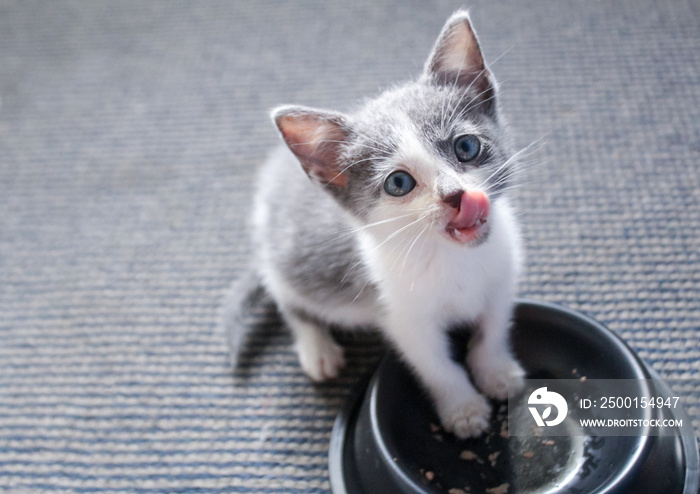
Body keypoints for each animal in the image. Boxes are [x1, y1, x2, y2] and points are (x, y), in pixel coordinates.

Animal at [224, 9, 524, 438]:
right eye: (399, 183)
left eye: (466, 147)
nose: (455, 195)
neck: (453, 258)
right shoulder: (404, 318)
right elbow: (437, 365)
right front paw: (463, 409)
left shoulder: (502, 278)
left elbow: (492, 329)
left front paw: (496, 371)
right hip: (290, 265)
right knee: (287, 296)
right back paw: (317, 347)